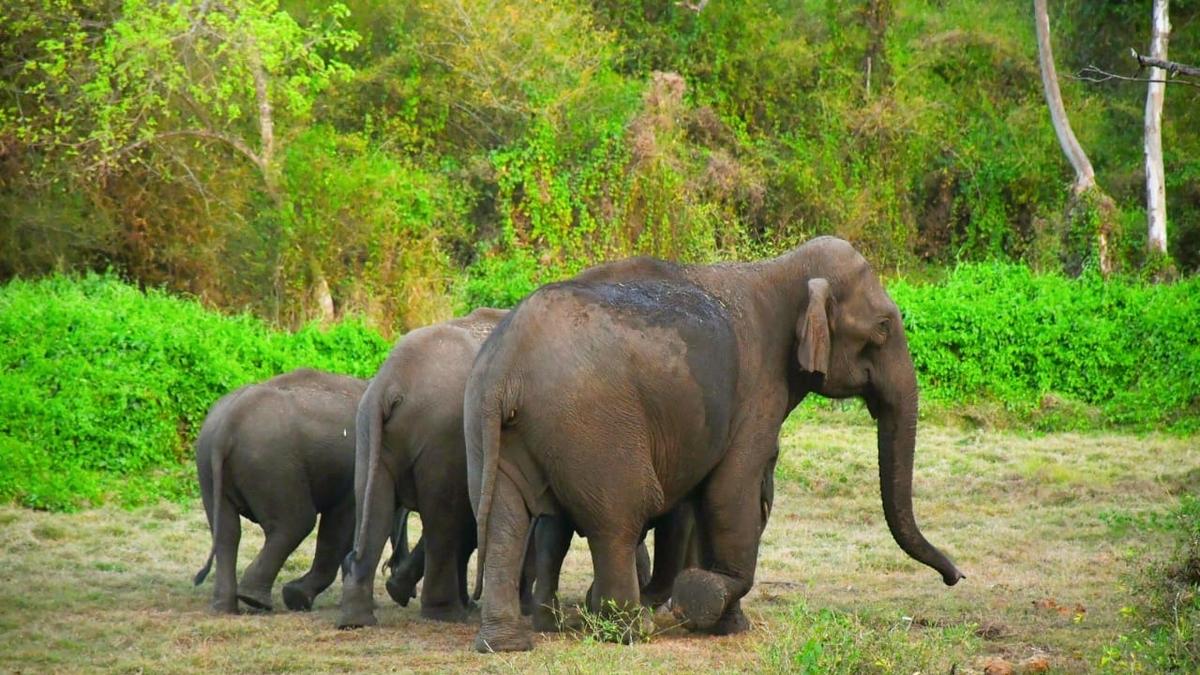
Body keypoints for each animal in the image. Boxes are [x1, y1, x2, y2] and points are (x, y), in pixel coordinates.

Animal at [193, 368, 368, 614]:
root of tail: (229, 422)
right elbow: (341, 525)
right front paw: (299, 598)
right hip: (274, 465)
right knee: (296, 523)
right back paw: (256, 601)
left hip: (209, 466)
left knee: (227, 532)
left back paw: (225, 608)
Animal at [338, 307, 508, 628]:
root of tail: (391, 382)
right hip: (443, 435)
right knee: (442, 520)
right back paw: (447, 613)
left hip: (368, 431)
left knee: (375, 508)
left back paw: (356, 619)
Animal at [464, 236, 963, 652]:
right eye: (882, 328)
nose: (955, 577)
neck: (782, 270)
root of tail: (506, 367)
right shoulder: (758, 390)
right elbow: (729, 492)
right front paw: (701, 604)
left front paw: (722, 621)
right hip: (593, 427)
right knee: (619, 518)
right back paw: (631, 630)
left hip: (495, 432)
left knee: (506, 520)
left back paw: (507, 644)